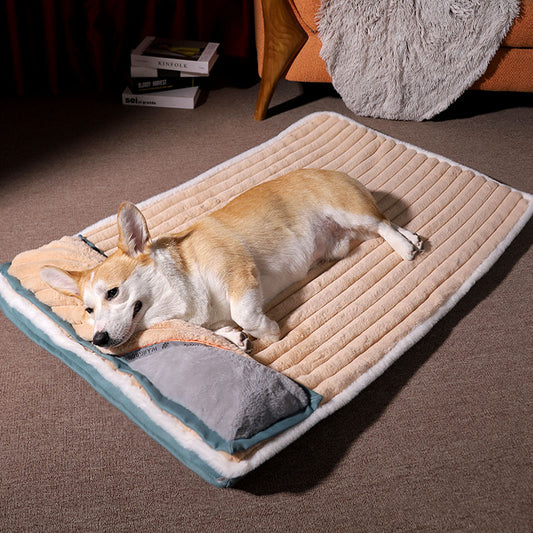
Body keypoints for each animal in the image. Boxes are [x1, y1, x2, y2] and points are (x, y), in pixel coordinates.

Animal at [39, 170, 422, 352]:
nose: (98, 340)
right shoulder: (207, 317)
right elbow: (219, 328)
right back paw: (413, 238)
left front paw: (269, 332)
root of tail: (331, 171)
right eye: (88, 310)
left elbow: (245, 314)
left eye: (113, 293)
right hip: (347, 237)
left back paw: (405, 249)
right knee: (384, 224)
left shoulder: (240, 271)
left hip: (350, 211)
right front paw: (235, 339)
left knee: (383, 223)